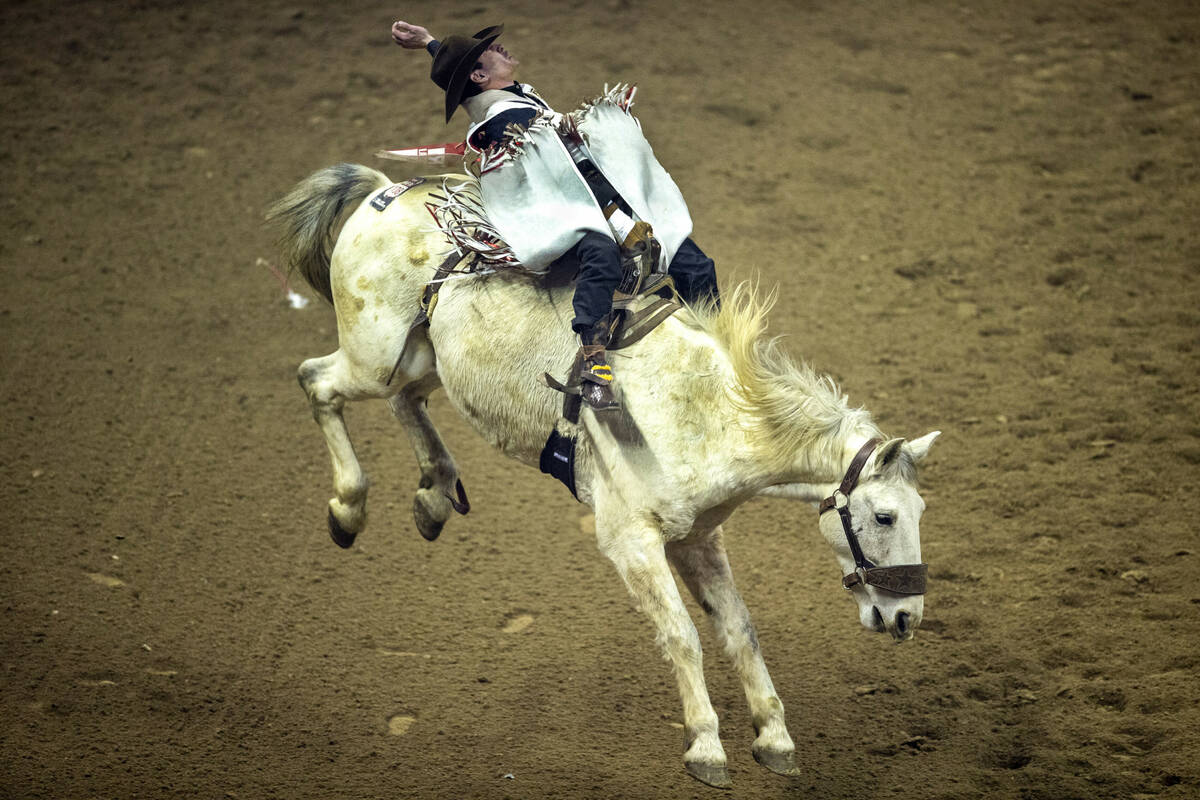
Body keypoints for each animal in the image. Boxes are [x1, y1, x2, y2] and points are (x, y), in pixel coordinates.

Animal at [267, 164, 940, 786]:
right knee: (316, 380)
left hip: (422, 360)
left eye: (920, 513)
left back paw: (433, 496)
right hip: (372, 358)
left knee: (405, 403)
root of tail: (386, 190)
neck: (707, 411)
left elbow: (738, 629)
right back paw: (348, 508)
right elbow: (682, 636)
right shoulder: (629, 542)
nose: (909, 618)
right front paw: (706, 746)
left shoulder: (698, 537)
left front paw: (774, 737)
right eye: (885, 516)